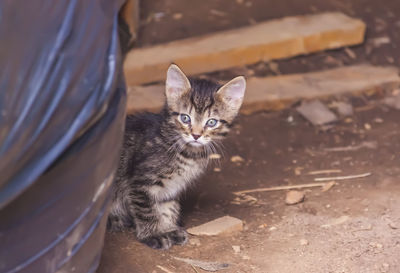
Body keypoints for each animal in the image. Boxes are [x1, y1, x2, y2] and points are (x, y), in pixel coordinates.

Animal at [108, 63, 245, 249]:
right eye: (185, 118)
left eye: (211, 122)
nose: (196, 135)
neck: (188, 153)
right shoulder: (139, 182)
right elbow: (147, 210)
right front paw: (154, 233)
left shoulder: (170, 188)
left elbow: (167, 208)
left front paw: (168, 228)